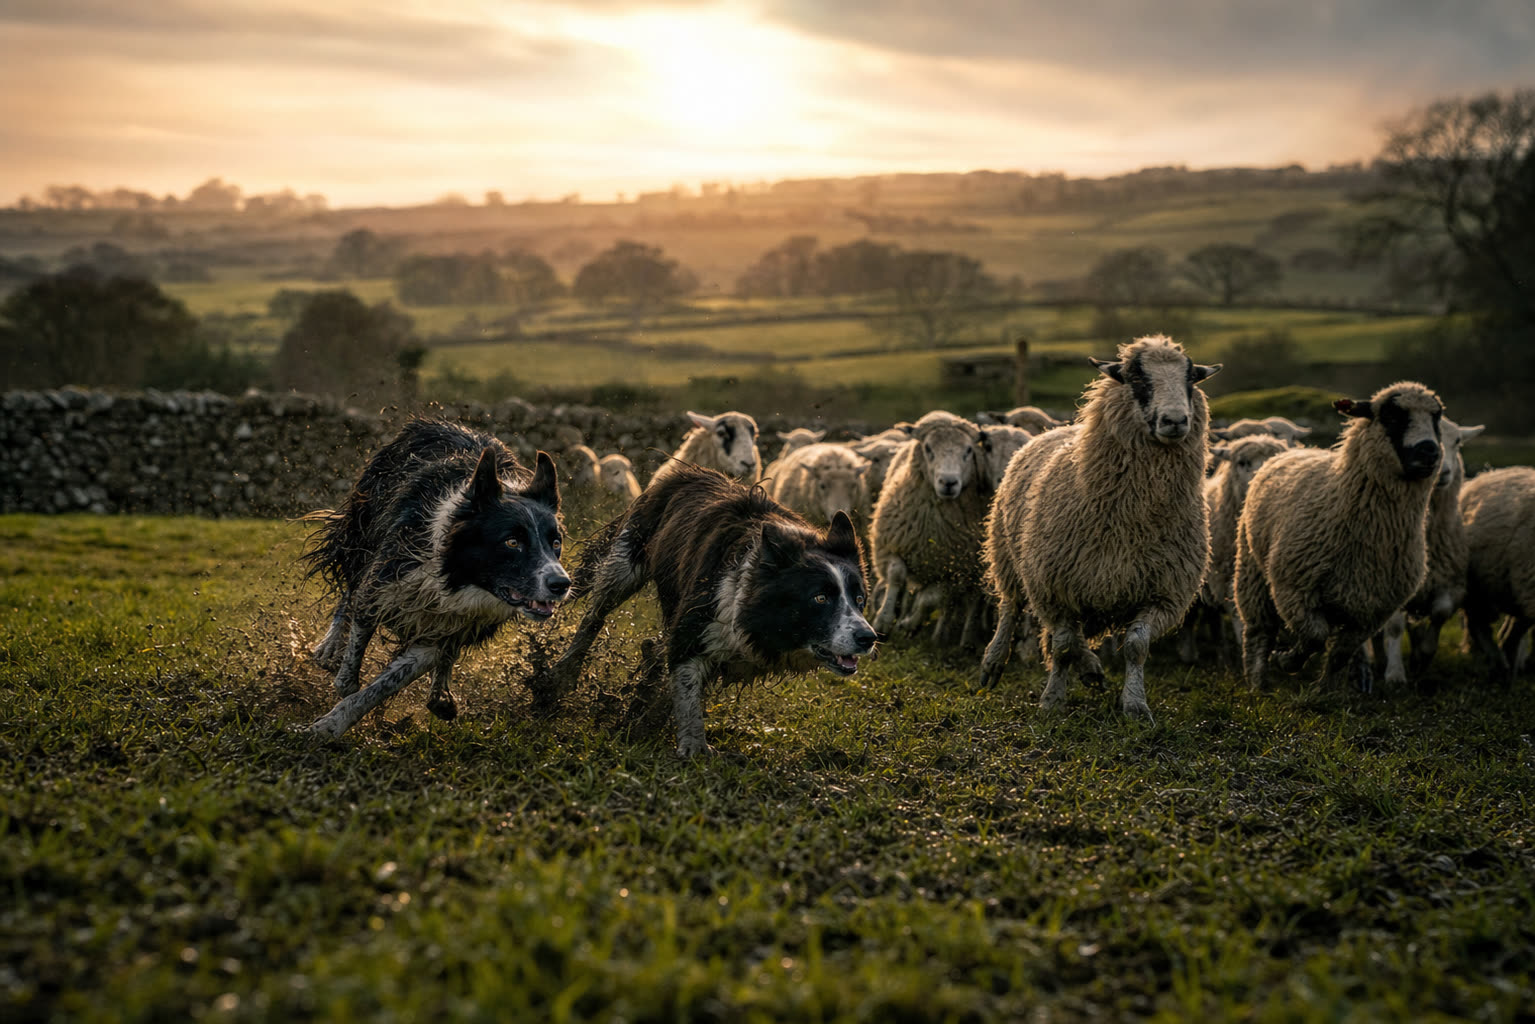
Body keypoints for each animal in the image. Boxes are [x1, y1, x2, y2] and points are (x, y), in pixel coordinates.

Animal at [868, 411, 985, 643]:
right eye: (928, 448)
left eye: (969, 450)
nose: (948, 482)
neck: (933, 525)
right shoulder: (891, 544)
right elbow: (896, 574)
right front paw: (883, 620)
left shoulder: (957, 573)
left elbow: (929, 599)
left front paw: (908, 624)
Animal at [978, 336, 1219, 721]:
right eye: (1136, 378)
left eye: (1190, 380)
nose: (1176, 420)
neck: (1131, 522)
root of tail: (1056, 428)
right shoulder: (1054, 586)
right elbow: (1063, 646)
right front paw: (1052, 700)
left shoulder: (1162, 592)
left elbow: (1135, 647)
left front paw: (1135, 705)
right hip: (1008, 555)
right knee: (1010, 608)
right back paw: (993, 663)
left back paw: (1090, 669)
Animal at [1234, 381, 1445, 695]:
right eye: (1391, 415)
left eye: (1437, 417)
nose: (1429, 451)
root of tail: (1290, 452)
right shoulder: (1293, 589)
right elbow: (1315, 636)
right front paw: (1287, 660)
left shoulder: (1372, 611)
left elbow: (1339, 653)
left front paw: (1324, 691)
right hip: (1253, 571)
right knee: (1259, 631)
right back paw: (1258, 681)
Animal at [1374, 418, 1485, 687]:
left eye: (1458, 441)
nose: (1442, 471)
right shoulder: (1394, 586)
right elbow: (1394, 627)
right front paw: (1395, 674)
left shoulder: (1451, 583)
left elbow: (1440, 613)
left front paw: (1421, 658)